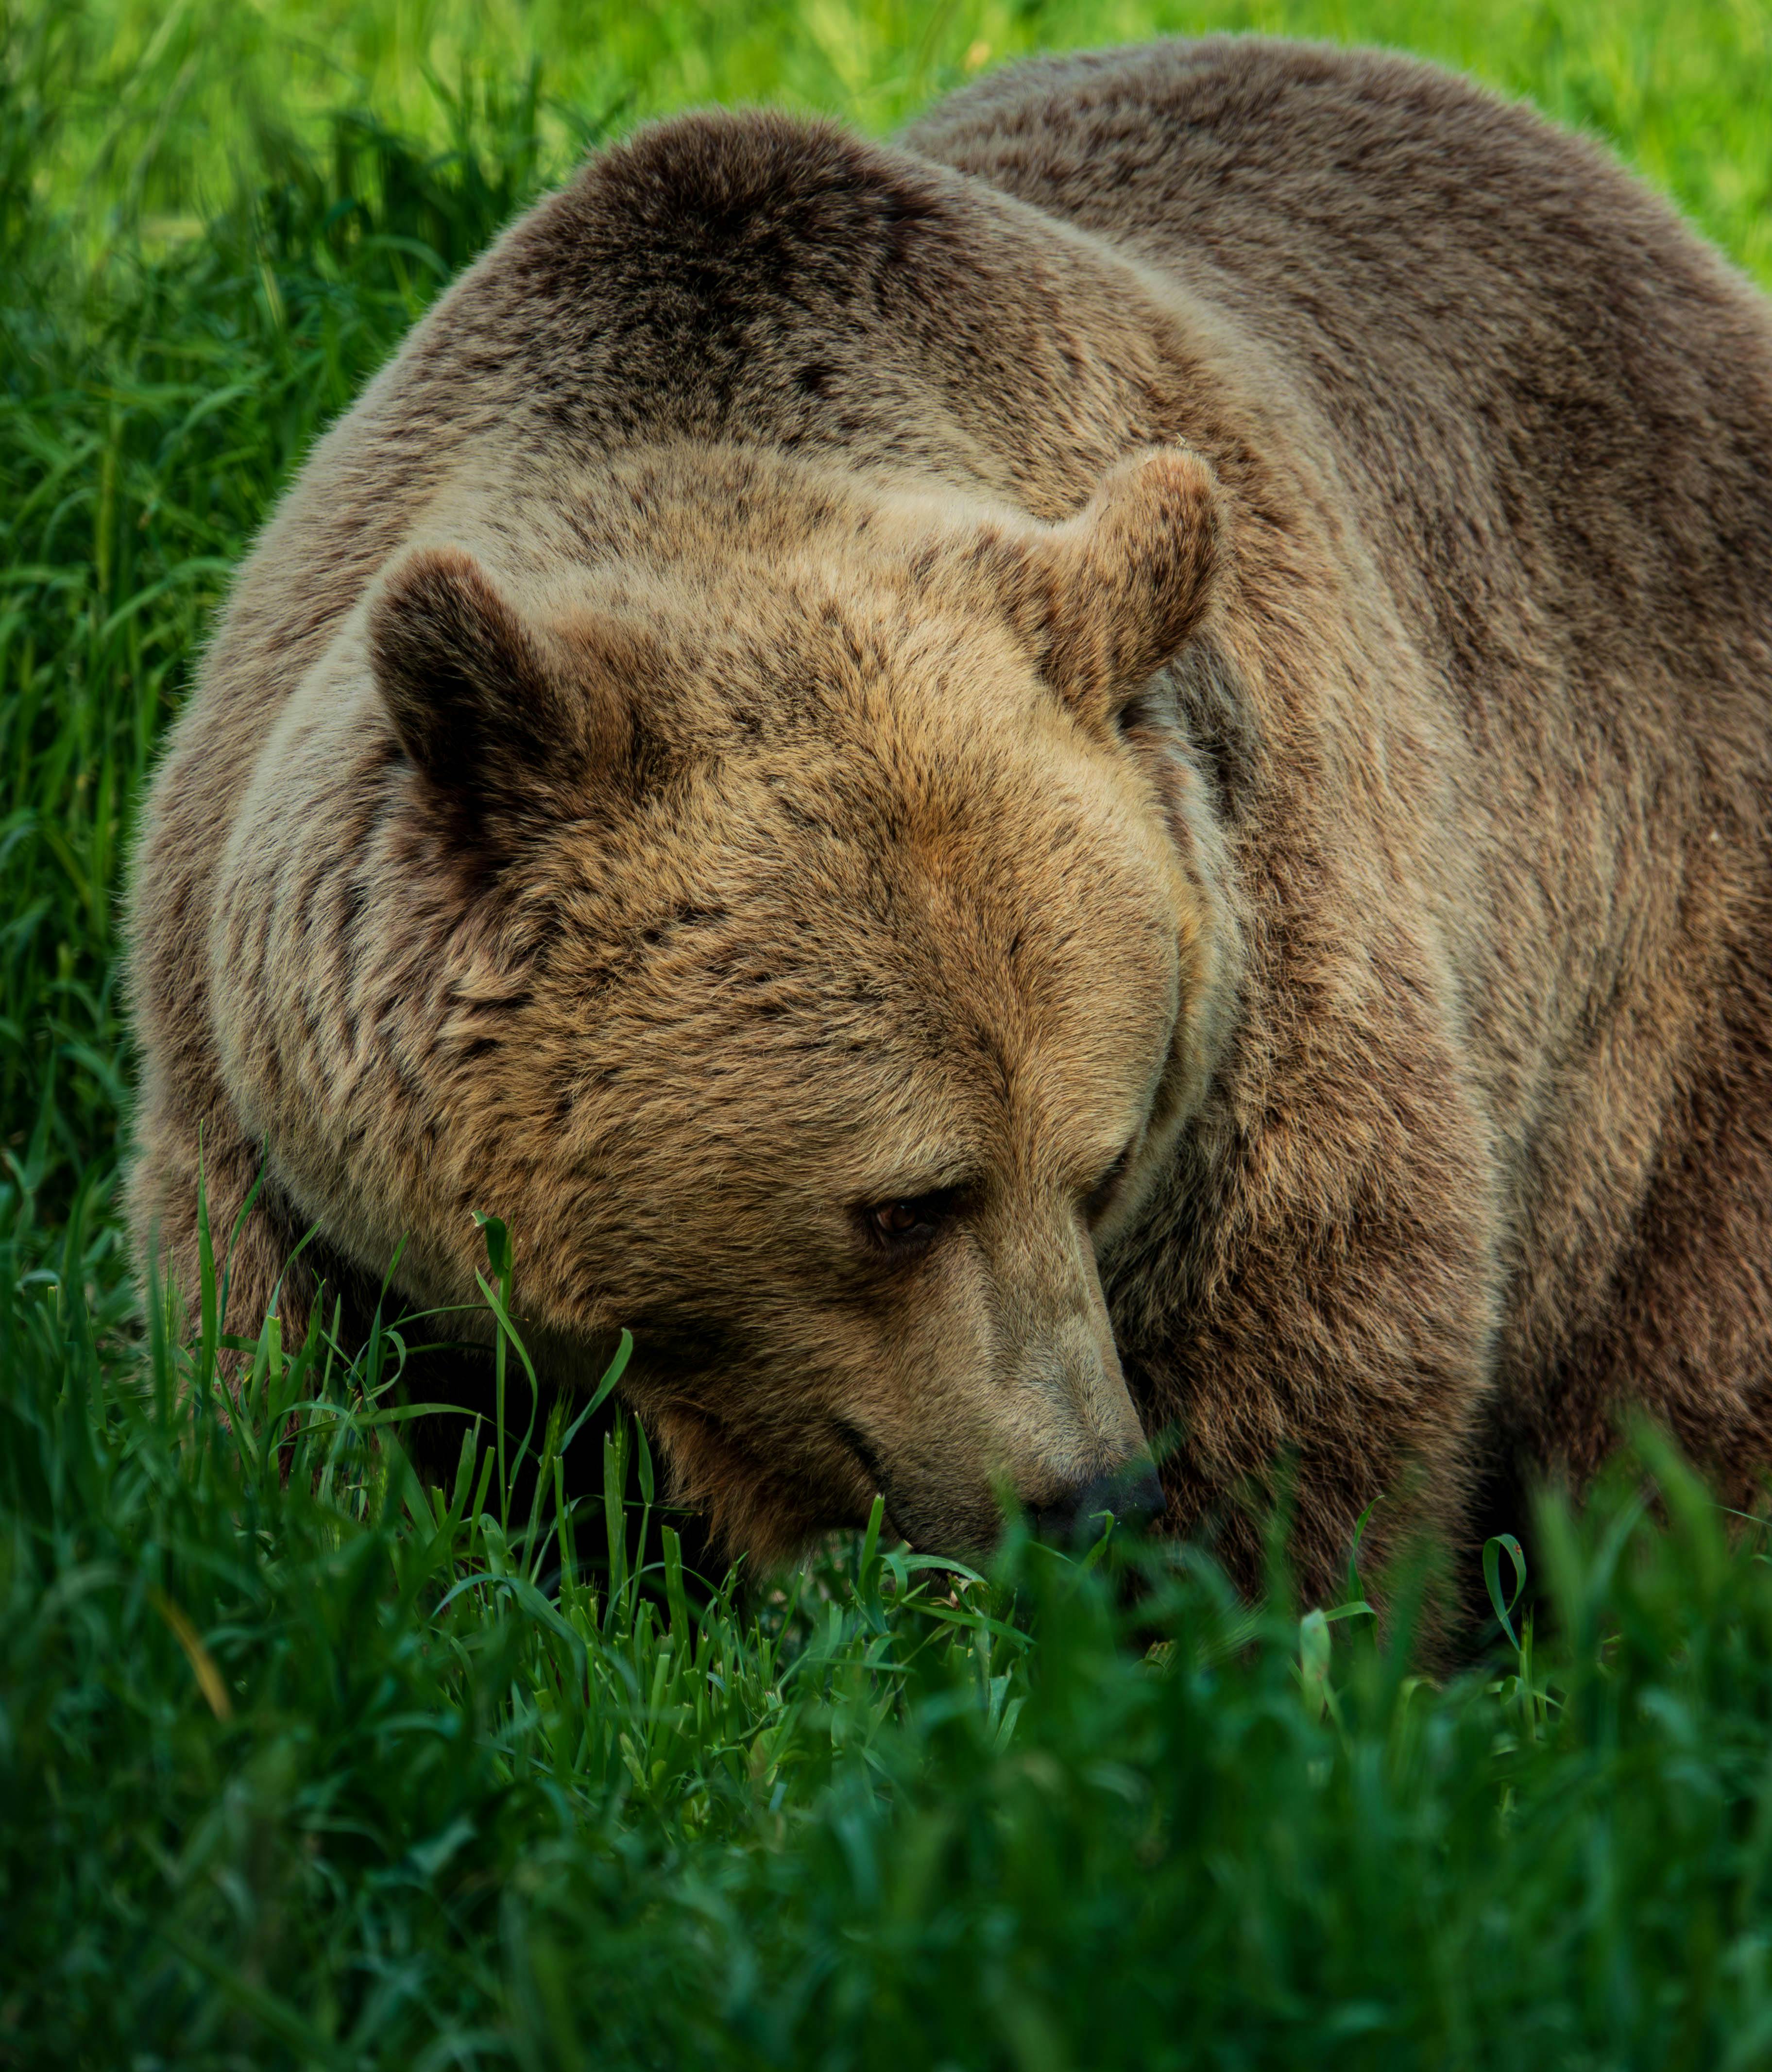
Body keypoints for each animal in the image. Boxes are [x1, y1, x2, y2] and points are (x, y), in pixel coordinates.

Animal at [127, 37, 1772, 1609]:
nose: (1087, 1495)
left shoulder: (1275, 929)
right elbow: (267, 1387)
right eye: (904, 1206)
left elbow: (1317, 1368)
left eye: (1103, 1163)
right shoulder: (267, 1070)